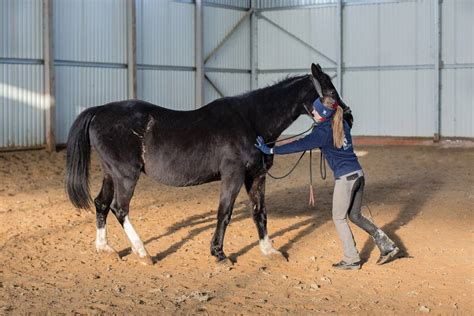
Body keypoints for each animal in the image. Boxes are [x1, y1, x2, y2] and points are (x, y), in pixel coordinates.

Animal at [65, 63, 352, 264]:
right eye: (330, 90)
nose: (348, 115)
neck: (251, 121)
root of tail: (98, 111)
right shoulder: (233, 176)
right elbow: (224, 214)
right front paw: (219, 254)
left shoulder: (256, 176)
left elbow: (259, 212)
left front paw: (269, 250)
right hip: (126, 176)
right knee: (119, 208)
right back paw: (144, 253)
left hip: (110, 174)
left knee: (101, 204)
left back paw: (105, 248)